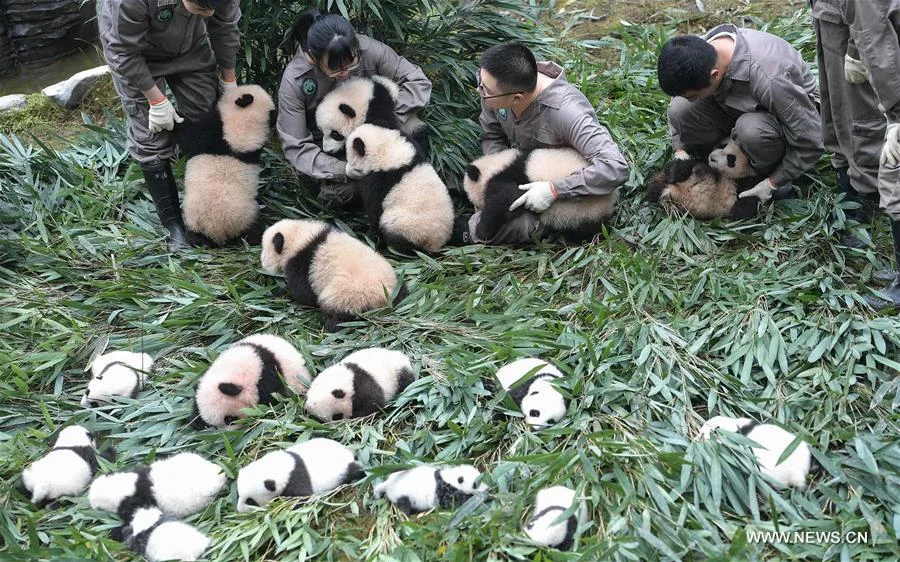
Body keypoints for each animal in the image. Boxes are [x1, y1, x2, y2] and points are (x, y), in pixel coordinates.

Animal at [260, 219, 405, 332]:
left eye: (264, 251)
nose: (262, 261)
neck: (299, 237)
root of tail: (386, 298)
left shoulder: (303, 264)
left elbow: (304, 294)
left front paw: (284, 294)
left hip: (350, 294)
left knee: (341, 311)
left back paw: (332, 324)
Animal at [346, 124, 453, 253]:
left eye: (350, 160)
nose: (347, 170)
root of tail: (435, 243)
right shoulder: (412, 148)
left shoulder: (379, 181)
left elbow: (374, 211)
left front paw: (369, 238)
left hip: (407, 226)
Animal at [463, 147, 618, 242]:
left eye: (474, 203)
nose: (475, 210)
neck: (495, 165)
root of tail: (609, 202)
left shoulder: (514, 177)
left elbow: (505, 201)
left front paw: (482, 230)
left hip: (584, 211)